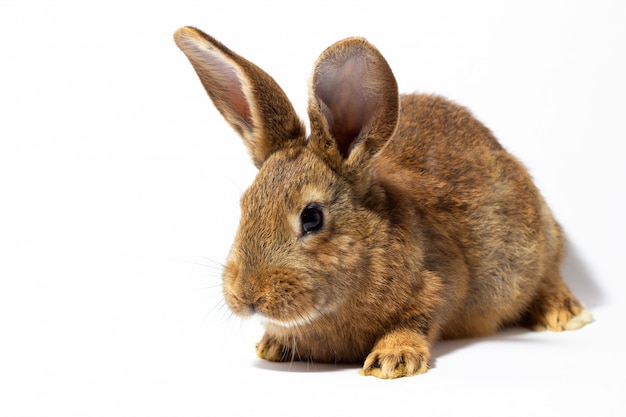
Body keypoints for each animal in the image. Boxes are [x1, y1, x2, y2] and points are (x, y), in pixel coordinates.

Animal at [173, 26, 592, 376]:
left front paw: (392, 360)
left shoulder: (440, 283)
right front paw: (272, 345)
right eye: (244, 206)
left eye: (312, 217)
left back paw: (565, 314)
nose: (246, 296)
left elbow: (418, 318)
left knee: (550, 274)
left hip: (539, 239)